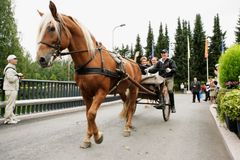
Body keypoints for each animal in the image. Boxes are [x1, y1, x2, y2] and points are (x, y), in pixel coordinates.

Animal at [35, 1, 141, 149]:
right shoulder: (85, 93)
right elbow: (87, 114)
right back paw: (127, 122)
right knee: (127, 104)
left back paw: (127, 127)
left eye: (51, 28)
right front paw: (88, 138)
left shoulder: (101, 92)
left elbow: (91, 114)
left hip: (134, 88)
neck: (90, 60)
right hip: (121, 90)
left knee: (131, 106)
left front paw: (97, 136)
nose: (40, 59)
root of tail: (135, 63)